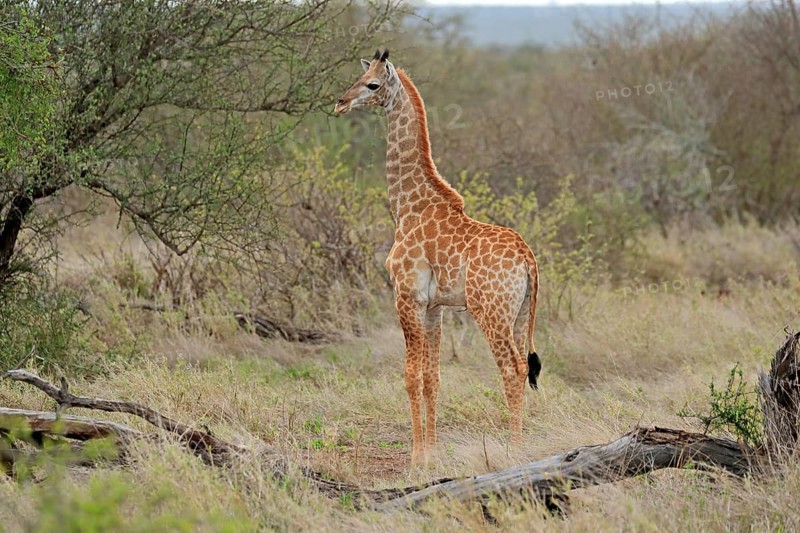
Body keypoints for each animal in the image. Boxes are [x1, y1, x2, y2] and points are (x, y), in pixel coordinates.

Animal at [334, 49, 541, 464]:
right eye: (358, 77)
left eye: (372, 84)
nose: (340, 103)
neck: (408, 207)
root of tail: (528, 259)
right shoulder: (434, 307)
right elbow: (433, 377)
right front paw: (431, 453)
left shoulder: (406, 298)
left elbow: (410, 377)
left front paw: (416, 460)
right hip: (521, 313)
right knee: (523, 367)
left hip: (490, 311)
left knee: (512, 369)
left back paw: (514, 451)